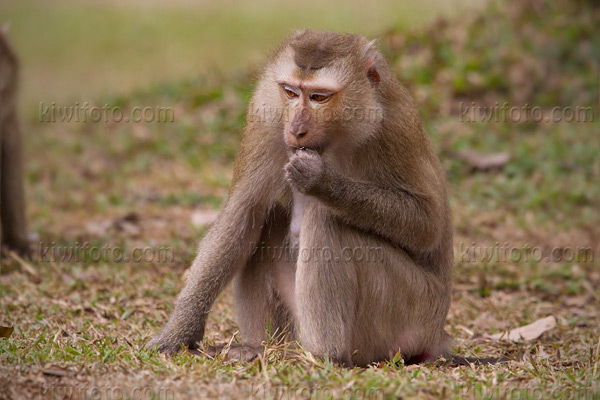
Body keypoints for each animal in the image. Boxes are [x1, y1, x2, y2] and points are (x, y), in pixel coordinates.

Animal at [149, 28, 454, 368]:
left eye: (319, 97)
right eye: (291, 92)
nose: (296, 128)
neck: (336, 138)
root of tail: (435, 335)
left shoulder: (395, 127)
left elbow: (426, 224)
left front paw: (321, 181)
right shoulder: (265, 117)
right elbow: (242, 213)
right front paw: (179, 332)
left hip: (411, 310)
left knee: (326, 220)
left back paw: (322, 355)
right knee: (267, 219)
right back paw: (260, 348)